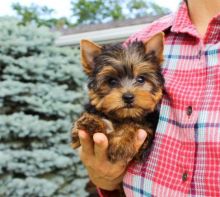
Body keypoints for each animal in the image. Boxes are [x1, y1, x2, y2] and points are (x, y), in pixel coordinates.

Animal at [71, 32, 164, 163]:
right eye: (112, 81)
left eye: (141, 79)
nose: (128, 97)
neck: (122, 116)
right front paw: (91, 121)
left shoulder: (149, 130)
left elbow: (135, 124)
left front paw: (121, 143)